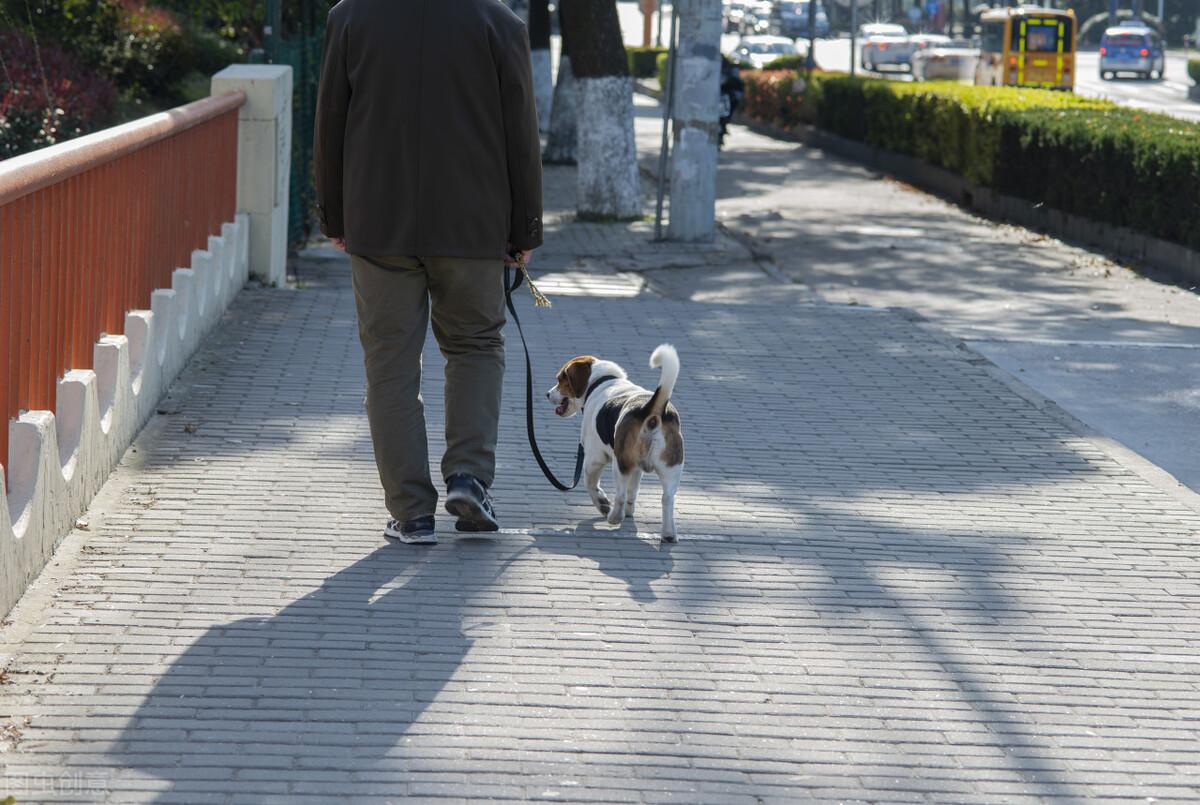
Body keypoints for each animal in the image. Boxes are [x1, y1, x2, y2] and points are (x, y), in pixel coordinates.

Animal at [547, 345, 686, 542]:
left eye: (560, 379)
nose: (547, 394)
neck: (602, 381)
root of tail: (652, 411)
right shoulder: (637, 468)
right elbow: (633, 491)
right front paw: (629, 511)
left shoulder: (594, 459)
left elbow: (591, 485)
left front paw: (603, 504)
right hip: (672, 468)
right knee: (667, 499)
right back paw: (668, 534)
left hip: (620, 464)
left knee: (619, 494)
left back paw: (614, 517)